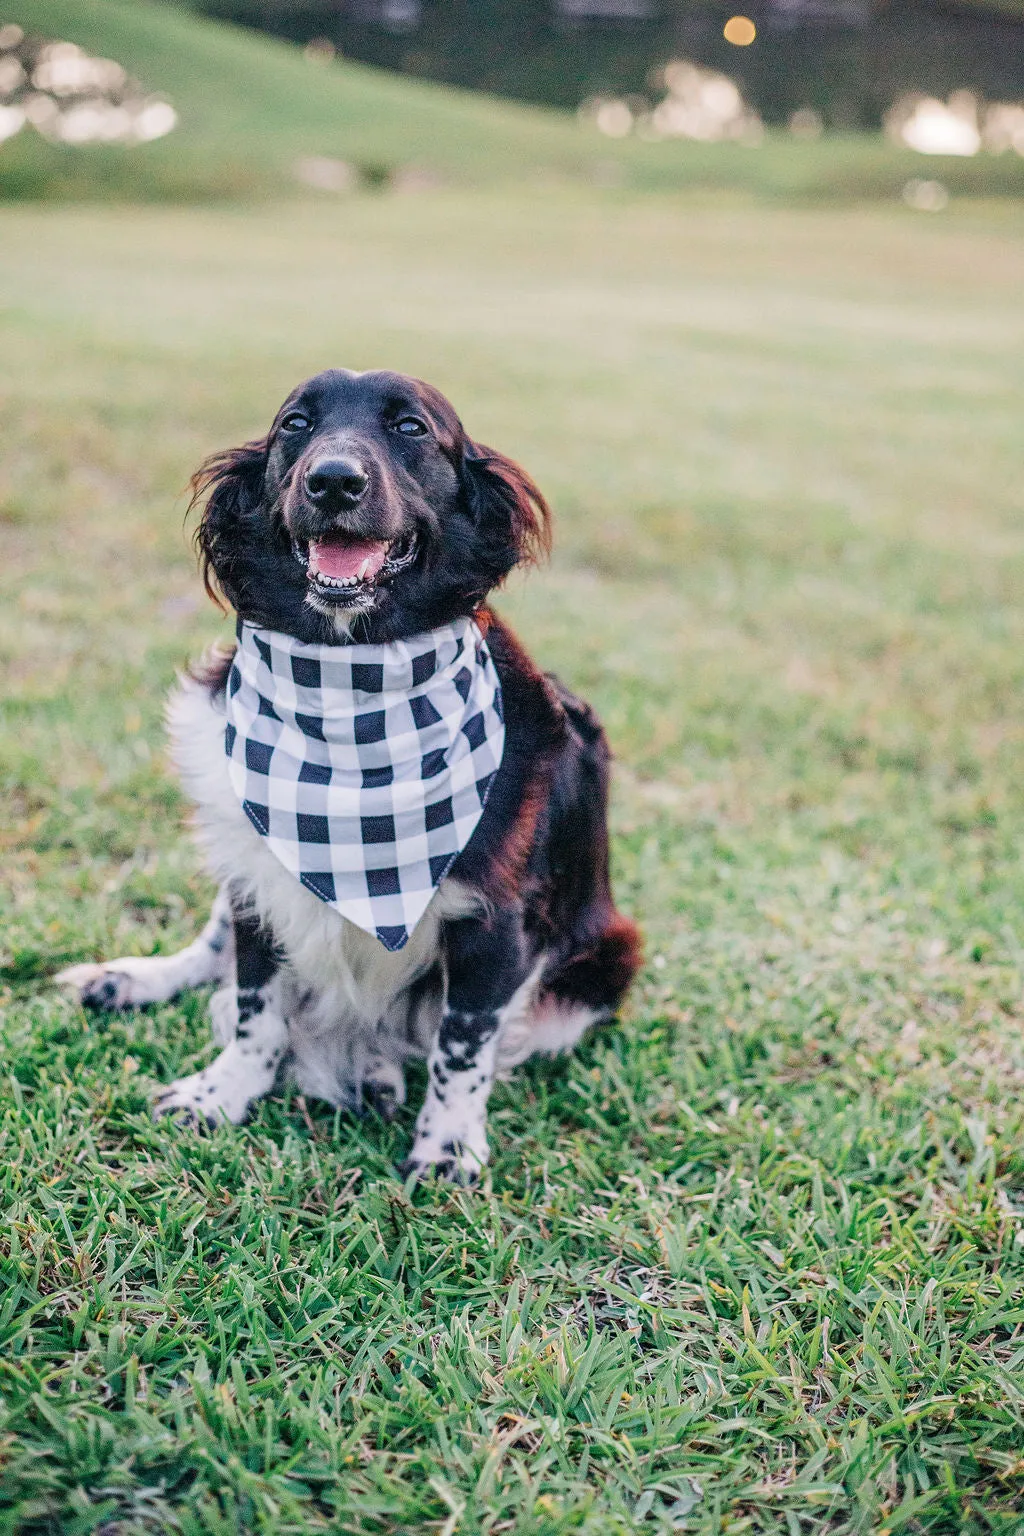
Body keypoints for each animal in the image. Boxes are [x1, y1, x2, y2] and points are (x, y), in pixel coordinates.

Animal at [56, 365, 641, 1179]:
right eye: (295, 425)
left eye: (412, 428)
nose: (334, 480)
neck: (348, 686)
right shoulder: (262, 879)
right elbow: (255, 1008)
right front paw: (221, 1094)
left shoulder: (498, 922)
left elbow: (463, 1045)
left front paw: (446, 1146)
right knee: (212, 950)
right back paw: (128, 979)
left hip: (598, 966)